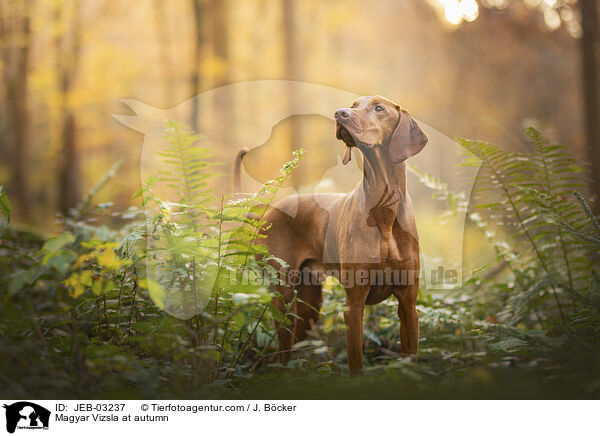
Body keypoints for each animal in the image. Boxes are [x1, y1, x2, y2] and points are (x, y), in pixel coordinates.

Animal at [233, 95, 426, 374]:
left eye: (379, 108)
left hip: (309, 305)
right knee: (281, 352)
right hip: (283, 296)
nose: (339, 113)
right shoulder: (353, 305)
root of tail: (270, 210)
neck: (384, 210)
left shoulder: (408, 305)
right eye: (354, 105)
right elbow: (356, 362)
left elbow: (411, 357)